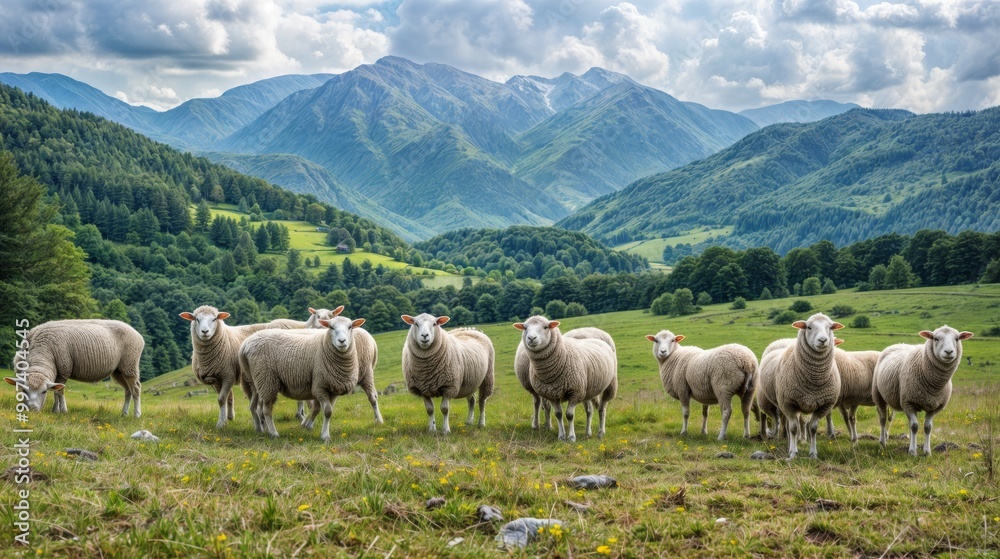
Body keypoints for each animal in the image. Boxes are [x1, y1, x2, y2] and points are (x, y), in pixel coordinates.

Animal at [5, 319, 143, 417]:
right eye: (23, 390)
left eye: (44, 392)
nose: (32, 409)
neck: (42, 350)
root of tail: (138, 335)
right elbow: (56, 390)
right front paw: (56, 410)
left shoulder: (63, 369)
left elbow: (59, 392)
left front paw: (61, 411)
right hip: (119, 371)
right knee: (128, 390)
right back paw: (124, 413)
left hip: (129, 365)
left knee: (136, 389)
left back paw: (136, 415)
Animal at [179, 305, 325, 429]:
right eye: (197, 319)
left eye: (214, 319)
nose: (205, 332)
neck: (224, 339)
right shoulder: (215, 378)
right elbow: (226, 399)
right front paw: (227, 418)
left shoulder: (228, 375)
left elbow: (221, 399)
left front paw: (220, 424)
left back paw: (304, 418)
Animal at [239, 315, 382, 440]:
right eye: (331, 327)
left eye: (350, 327)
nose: (342, 341)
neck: (324, 346)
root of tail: (245, 345)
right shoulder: (319, 386)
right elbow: (326, 411)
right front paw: (324, 435)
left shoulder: (333, 387)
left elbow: (325, 410)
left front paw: (312, 427)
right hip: (267, 380)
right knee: (266, 409)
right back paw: (273, 433)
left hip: (256, 381)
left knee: (254, 406)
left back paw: (260, 429)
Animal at [763, 313, 844, 459]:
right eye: (809, 327)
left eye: (830, 327)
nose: (823, 340)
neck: (814, 379)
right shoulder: (788, 403)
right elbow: (793, 428)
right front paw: (793, 453)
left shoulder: (823, 405)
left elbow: (813, 428)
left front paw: (813, 454)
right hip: (782, 403)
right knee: (787, 425)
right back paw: (789, 444)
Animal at [872, 325, 973, 456]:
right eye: (936, 339)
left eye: (957, 339)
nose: (949, 352)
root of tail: (898, 344)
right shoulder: (908, 402)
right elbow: (915, 426)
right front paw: (913, 452)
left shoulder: (933, 406)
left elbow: (927, 427)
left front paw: (927, 451)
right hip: (878, 395)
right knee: (883, 420)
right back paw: (882, 443)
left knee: (908, 423)